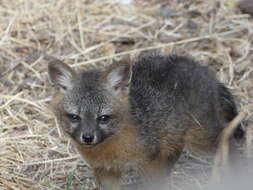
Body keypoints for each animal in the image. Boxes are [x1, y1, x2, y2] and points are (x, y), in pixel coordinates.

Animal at [47, 54, 243, 189]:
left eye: (103, 118)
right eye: (74, 117)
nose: (88, 137)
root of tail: (203, 69)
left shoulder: (149, 163)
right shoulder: (105, 171)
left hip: (201, 138)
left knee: (230, 144)